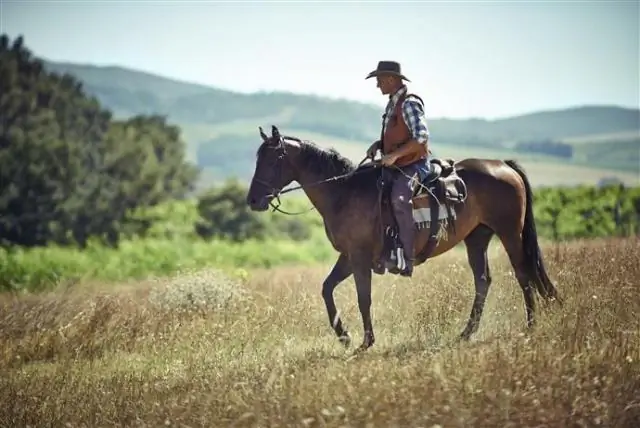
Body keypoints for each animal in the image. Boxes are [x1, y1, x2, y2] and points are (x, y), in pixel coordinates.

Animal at [245, 124, 560, 352]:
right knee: (483, 281)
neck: (344, 192)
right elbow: (327, 289)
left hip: (509, 233)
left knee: (523, 274)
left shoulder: (359, 258)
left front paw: (365, 342)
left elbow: (363, 298)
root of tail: (503, 165)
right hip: (477, 238)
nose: (252, 200)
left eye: (272, 160)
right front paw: (345, 336)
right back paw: (466, 333)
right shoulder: (348, 256)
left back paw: (530, 325)